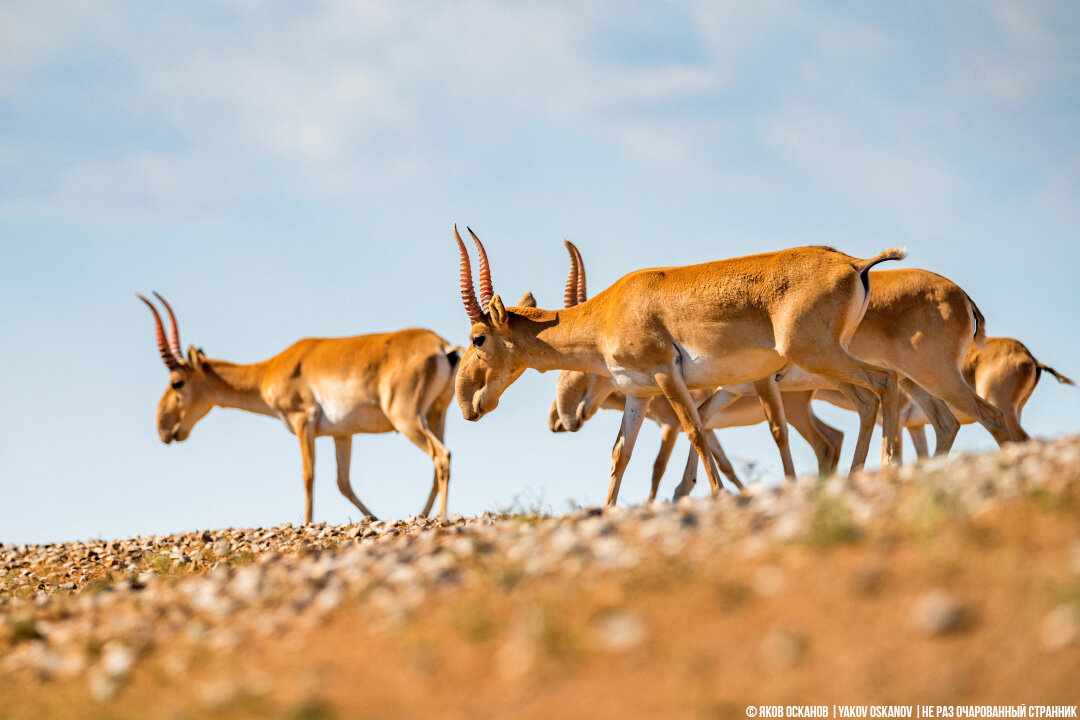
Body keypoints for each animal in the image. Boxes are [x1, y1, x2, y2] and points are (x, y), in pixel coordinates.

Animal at [137, 293, 462, 524]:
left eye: (177, 382)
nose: (163, 429)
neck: (269, 371)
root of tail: (443, 347)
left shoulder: (302, 422)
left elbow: (308, 475)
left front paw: (307, 522)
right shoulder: (342, 435)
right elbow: (343, 482)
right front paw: (373, 517)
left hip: (407, 419)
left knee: (441, 455)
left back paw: (440, 517)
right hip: (435, 415)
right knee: (439, 460)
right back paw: (423, 515)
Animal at [451, 225, 907, 507]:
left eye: (478, 339)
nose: (467, 405)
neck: (609, 311)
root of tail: (853, 263)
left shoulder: (665, 376)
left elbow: (697, 432)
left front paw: (717, 496)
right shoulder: (638, 393)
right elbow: (620, 453)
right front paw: (608, 508)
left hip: (817, 358)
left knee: (885, 383)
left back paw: (889, 469)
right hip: (825, 364)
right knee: (869, 399)